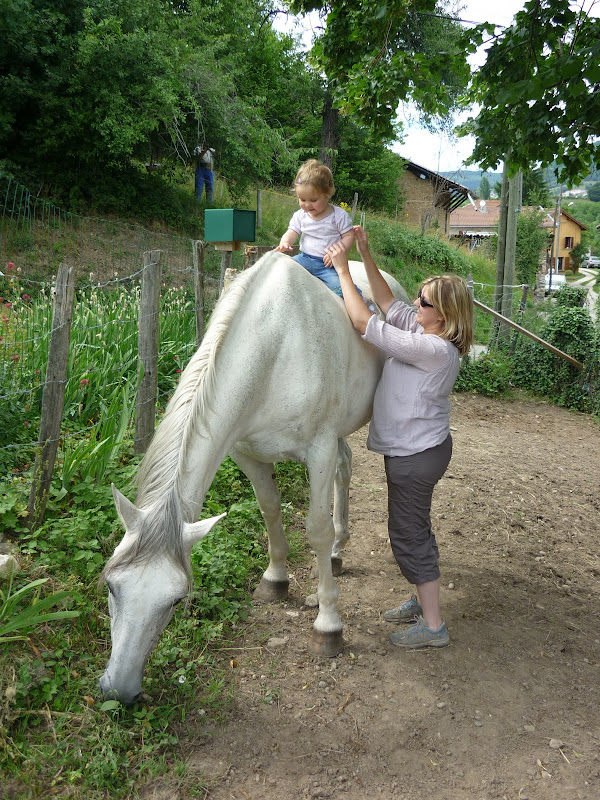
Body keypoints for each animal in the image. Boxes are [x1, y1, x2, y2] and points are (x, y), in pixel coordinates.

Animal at [101, 253, 408, 704]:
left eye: (177, 599)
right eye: (110, 585)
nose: (118, 691)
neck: (273, 347)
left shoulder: (318, 449)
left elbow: (315, 529)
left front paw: (328, 625)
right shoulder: (246, 452)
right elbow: (269, 511)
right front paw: (275, 580)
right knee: (345, 467)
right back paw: (338, 551)